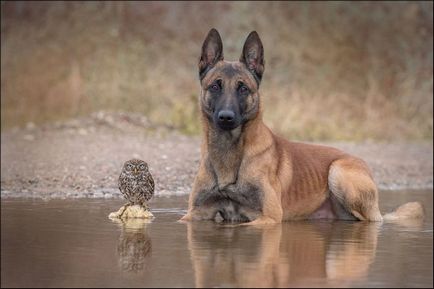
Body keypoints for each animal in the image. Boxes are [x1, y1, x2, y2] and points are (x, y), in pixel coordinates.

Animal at [180, 28, 424, 224]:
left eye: (243, 88)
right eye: (215, 86)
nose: (226, 118)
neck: (228, 152)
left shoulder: (269, 218)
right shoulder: (194, 215)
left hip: (339, 173)